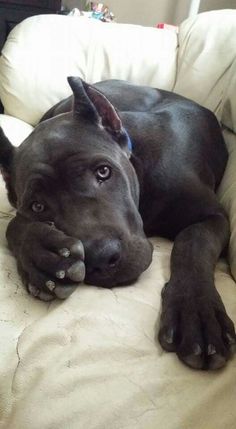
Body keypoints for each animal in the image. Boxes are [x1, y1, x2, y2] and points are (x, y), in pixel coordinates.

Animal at [0, 78, 235, 370]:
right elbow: (14, 225)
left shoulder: (212, 216)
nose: (101, 259)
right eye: (38, 206)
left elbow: (192, 243)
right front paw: (42, 261)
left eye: (103, 171)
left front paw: (197, 312)